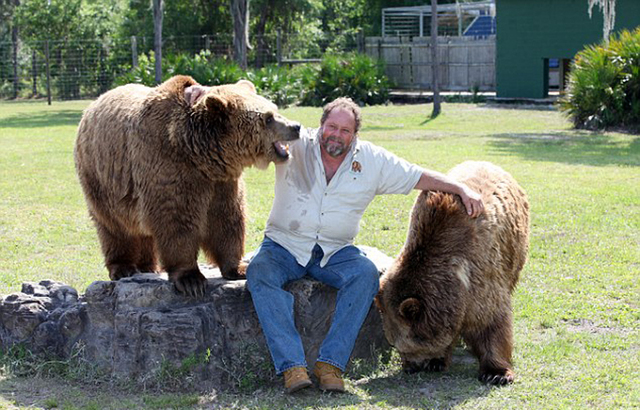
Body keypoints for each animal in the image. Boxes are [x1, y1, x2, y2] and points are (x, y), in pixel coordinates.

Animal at [376, 160, 528, 384]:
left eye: (403, 345)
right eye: (393, 343)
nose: (409, 367)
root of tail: (489, 163)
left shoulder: (481, 272)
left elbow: (492, 321)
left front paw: (496, 373)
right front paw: (436, 361)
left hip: (515, 253)